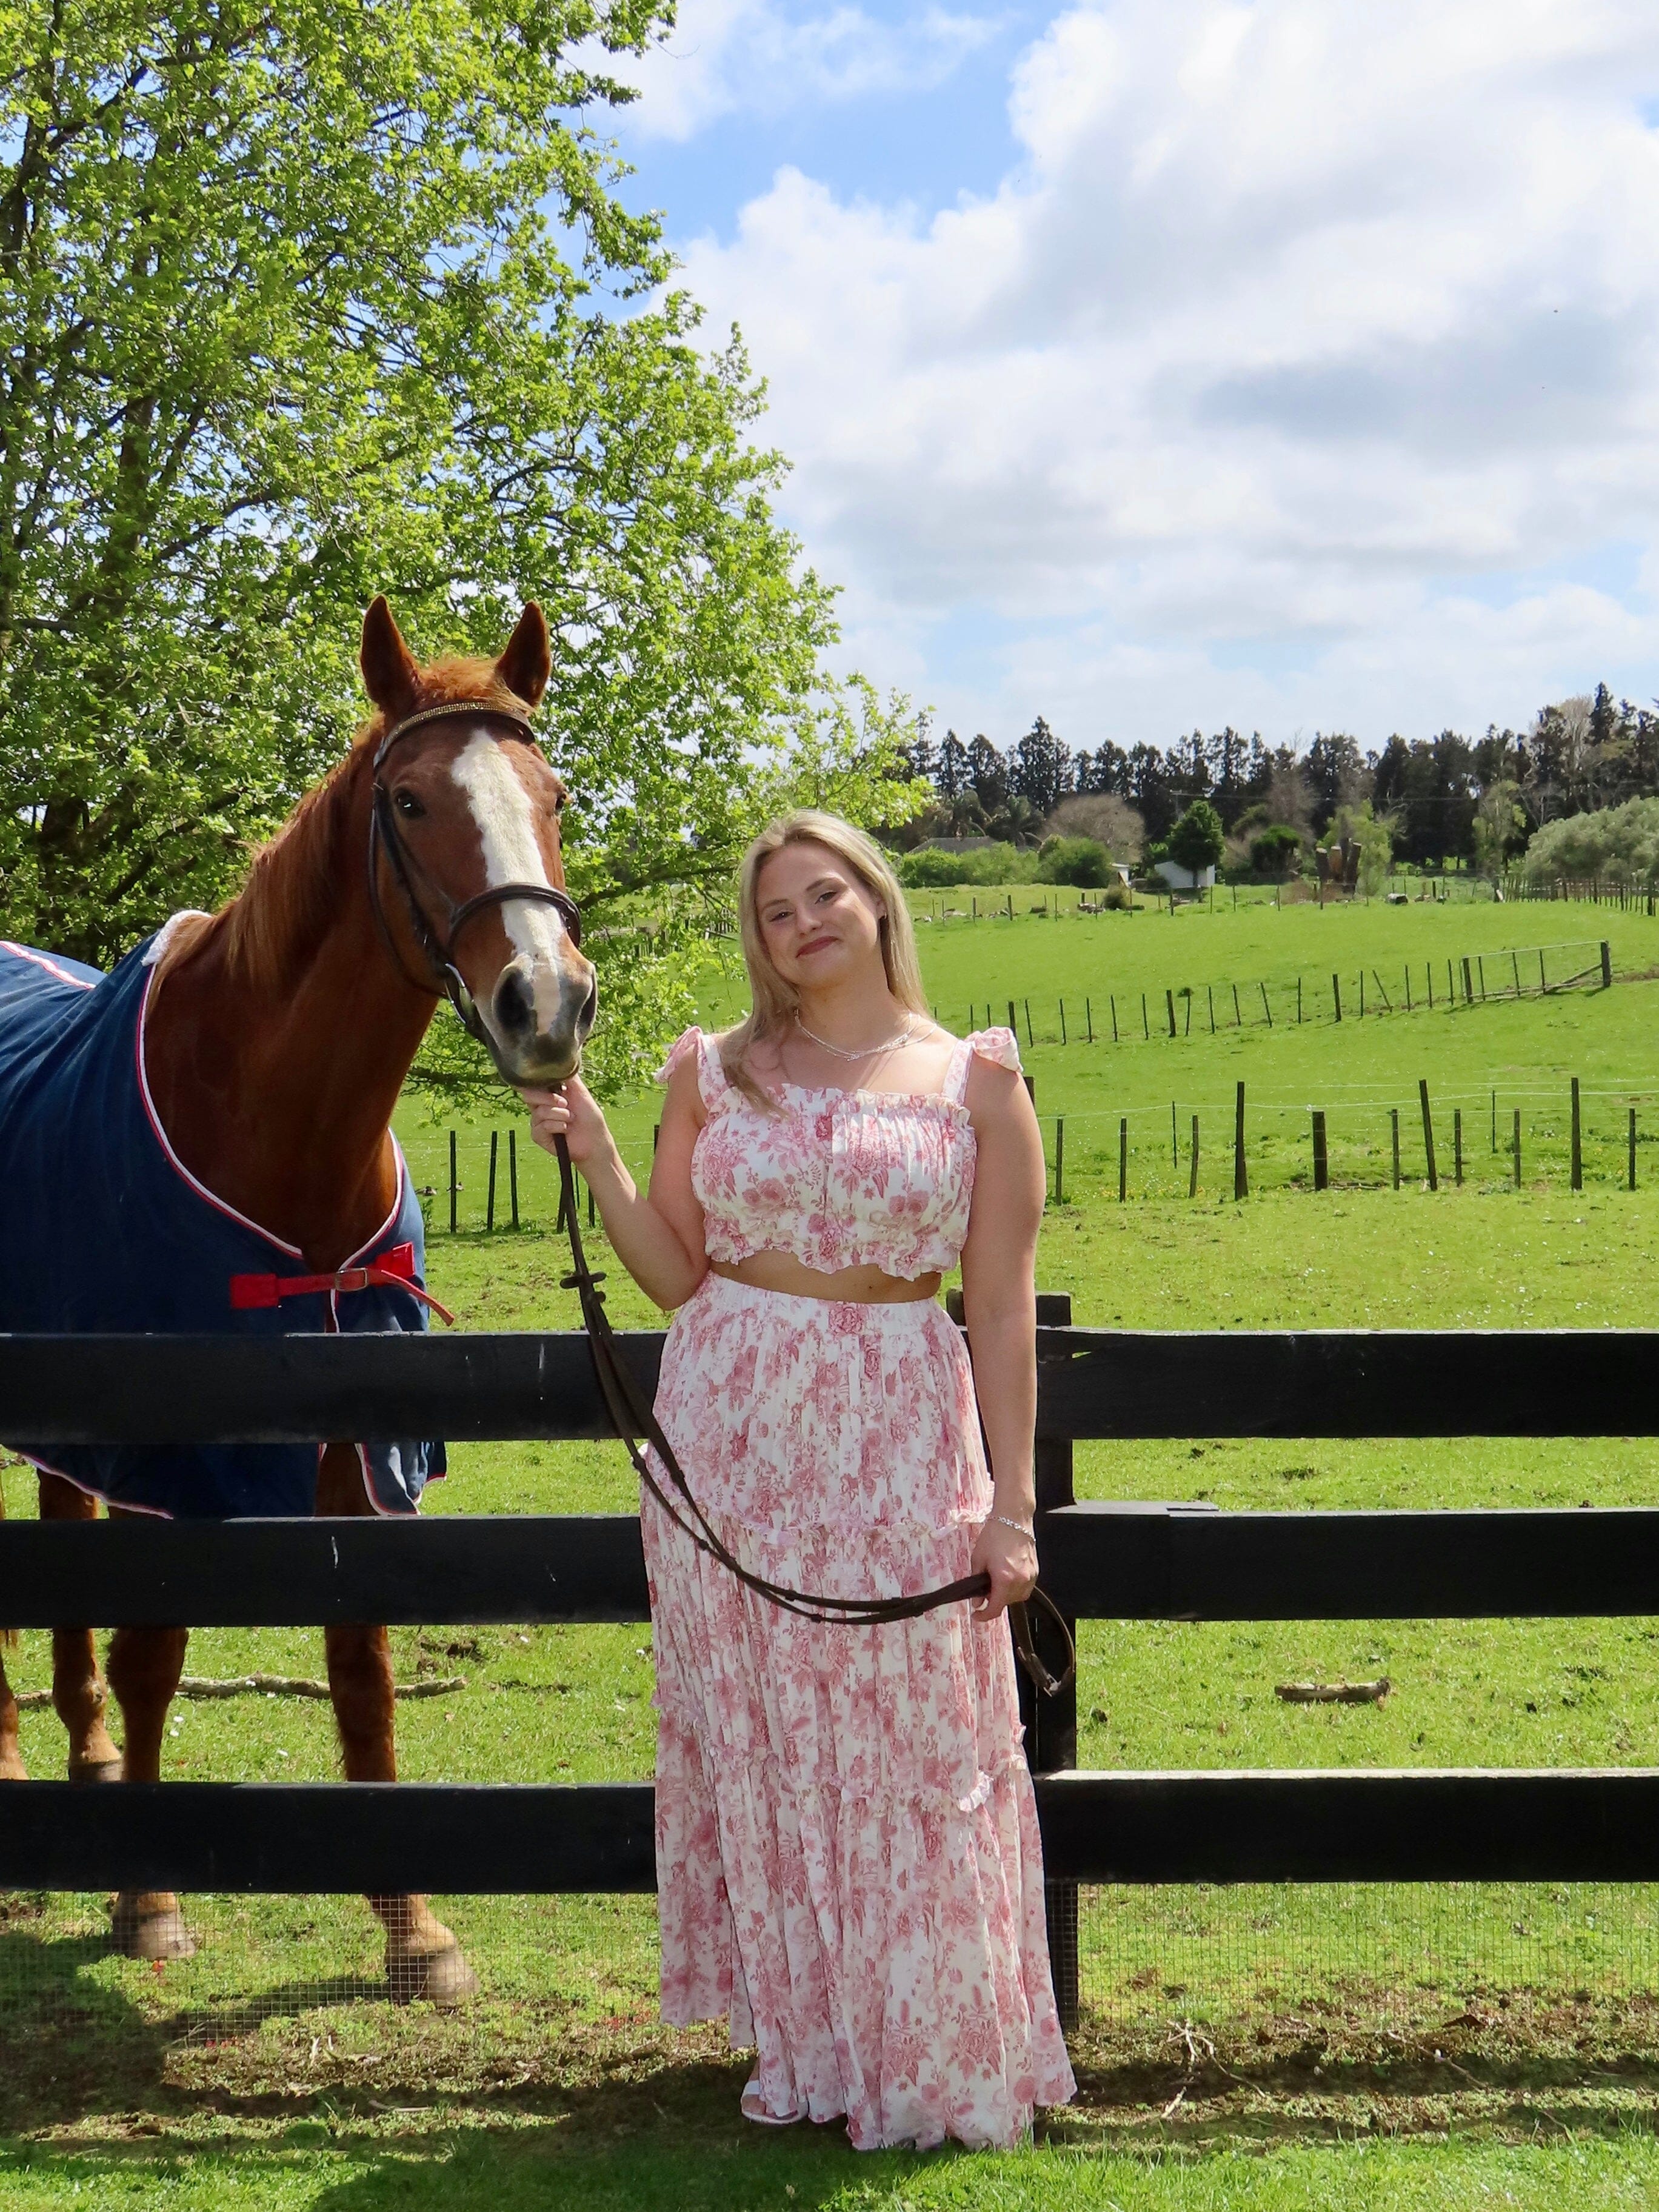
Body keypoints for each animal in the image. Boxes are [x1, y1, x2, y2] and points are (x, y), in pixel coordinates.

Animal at [0, 592, 597, 2008]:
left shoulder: (353, 1439)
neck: (268, 1119)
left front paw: (413, 1925)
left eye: (552, 793)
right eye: (416, 801)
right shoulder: (172, 1446)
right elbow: (157, 1652)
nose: (547, 1004)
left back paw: (82, 1760)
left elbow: (361, 1662)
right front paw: (148, 1898)